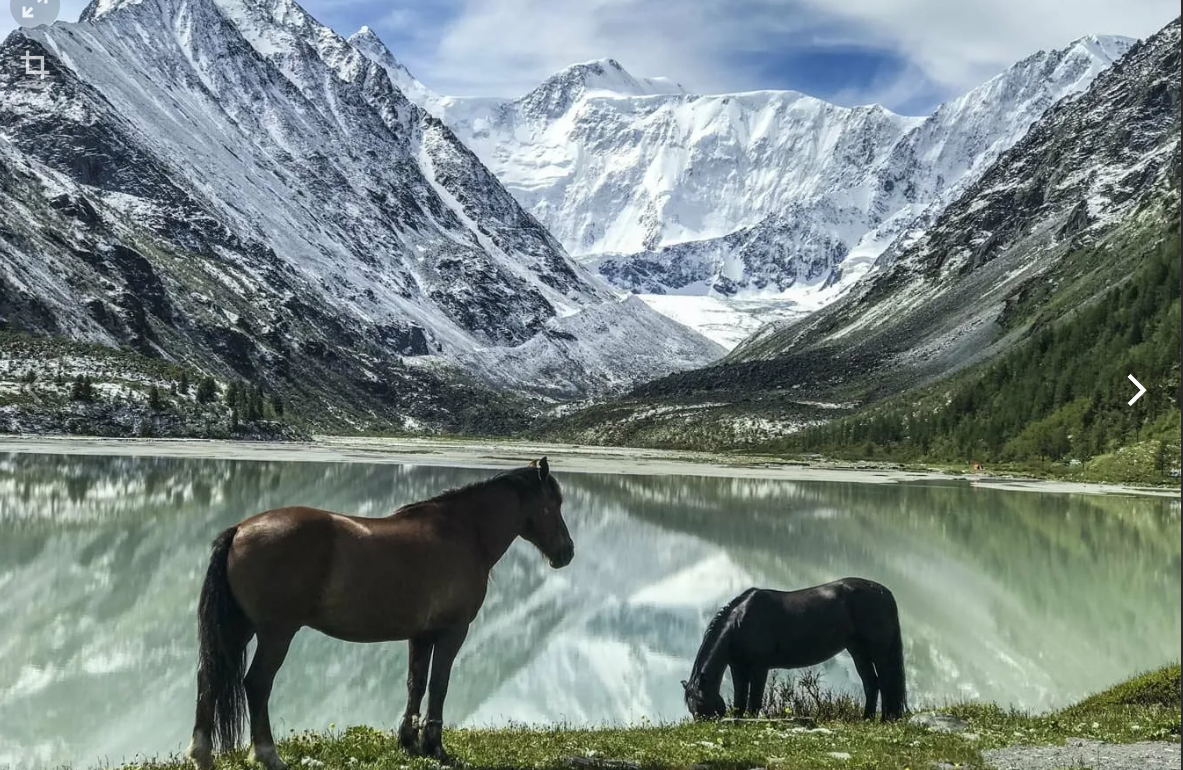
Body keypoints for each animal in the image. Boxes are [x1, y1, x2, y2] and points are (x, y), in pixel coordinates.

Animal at [183, 461, 572, 766]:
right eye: (554, 504)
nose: (566, 552)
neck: (464, 532)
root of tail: (239, 530)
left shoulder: (421, 635)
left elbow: (416, 683)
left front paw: (409, 741)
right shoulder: (453, 631)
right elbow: (439, 685)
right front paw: (435, 747)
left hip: (240, 629)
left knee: (209, 677)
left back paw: (201, 753)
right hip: (276, 633)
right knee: (257, 684)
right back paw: (267, 754)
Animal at [686, 577, 903, 723]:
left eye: (702, 706)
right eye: (692, 709)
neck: (739, 623)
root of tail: (885, 592)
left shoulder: (759, 668)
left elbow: (754, 699)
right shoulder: (738, 667)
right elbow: (740, 697)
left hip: (879, 651)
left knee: (886, 682)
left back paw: (886, 719)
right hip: (858, 651)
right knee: (871, 684)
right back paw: (867, 719)